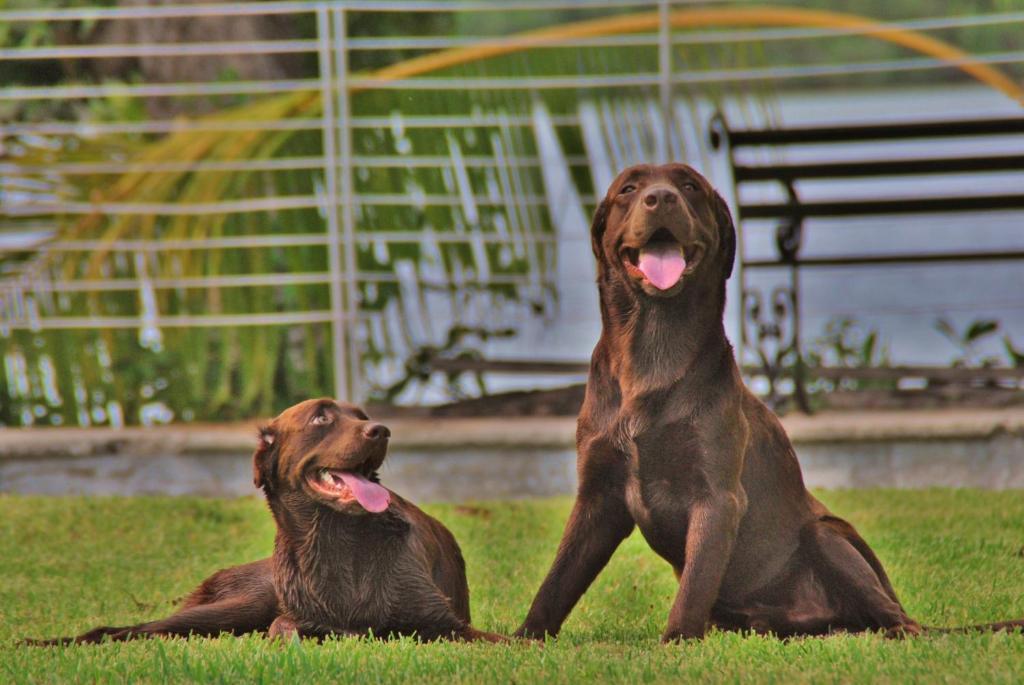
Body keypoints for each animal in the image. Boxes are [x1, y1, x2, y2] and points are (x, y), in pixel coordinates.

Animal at [27, 397, 499, 643]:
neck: (341, 544)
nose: (381, 430)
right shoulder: (299, 617)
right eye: (321, 417)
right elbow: (284, 626)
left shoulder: (445, 625)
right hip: (235, 606)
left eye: (364, 418)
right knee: (125, 628)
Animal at [520, 162, 1024, 638]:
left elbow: (693, 588)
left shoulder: (718, 496)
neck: (654, 347)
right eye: (629, 188)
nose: (660, 198)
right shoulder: (598, 497)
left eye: (689, 186)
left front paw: (675, 643)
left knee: (899, 620)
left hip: (826, 535)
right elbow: (556, 581)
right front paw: (523, 639)